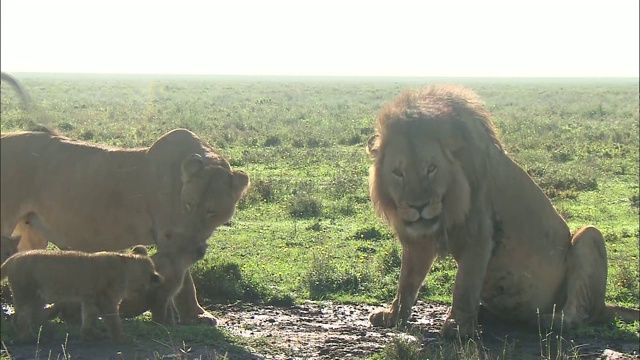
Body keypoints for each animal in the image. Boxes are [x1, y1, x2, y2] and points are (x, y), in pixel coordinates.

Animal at [0, 128, 250, 324]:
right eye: (188, 204)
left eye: (211, 211)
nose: (190, 238)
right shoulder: (169, 237)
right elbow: (184, 279)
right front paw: (195, 316)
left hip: (31, 231)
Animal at [3, 249, 162, 342]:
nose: (136, 296)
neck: (127, 268)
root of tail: (13, 258)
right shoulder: (106, 300)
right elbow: (113, 320)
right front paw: (121, 337)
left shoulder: (90, 299)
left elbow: (89, 317)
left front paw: (89, 335)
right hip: (26, 293)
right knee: (22, 317)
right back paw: (28, 337)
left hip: (35, 297)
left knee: (21, 316)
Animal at [368, 84, 636, 338]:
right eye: (398, 173)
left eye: (431, 168)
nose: (419, 206)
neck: (448, 206)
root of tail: (604, 307)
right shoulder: (419, 242)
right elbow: (407, 281)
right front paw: (393, 316)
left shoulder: (478, 234)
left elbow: (464, 285)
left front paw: (458, 327)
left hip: (589, 236)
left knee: (578, 314)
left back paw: (548, 320)